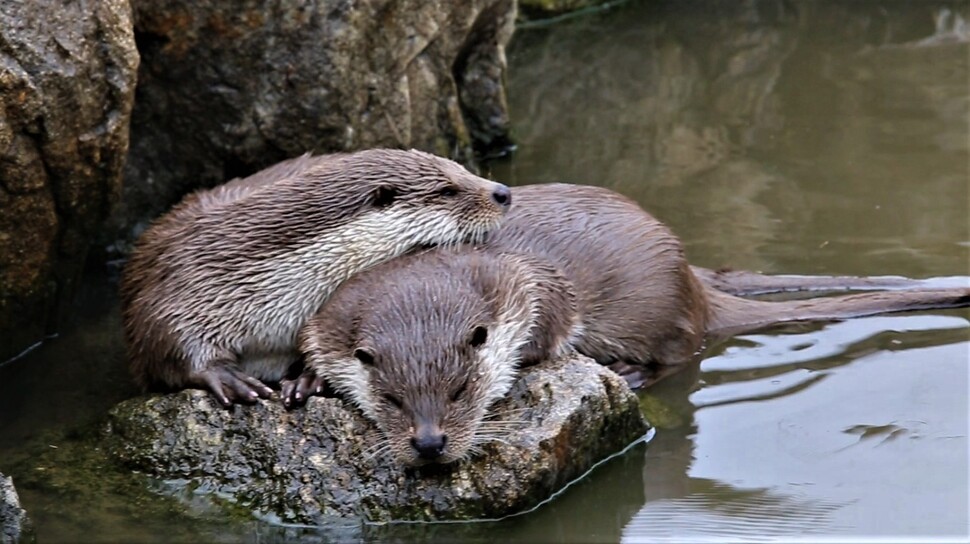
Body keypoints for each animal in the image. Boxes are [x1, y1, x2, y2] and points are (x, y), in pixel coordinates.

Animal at [122, 147, 516, 406]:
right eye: (447, 190)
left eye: (463, 168)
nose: (503, 192)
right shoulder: (185, 276)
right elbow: (163, 337)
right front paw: (225, 376)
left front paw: (310, 377)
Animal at [292, 184, 964, 468]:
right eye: (393, 399)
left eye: (460, 392)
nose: (430, 444)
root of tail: (692, 281)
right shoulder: (326, 319)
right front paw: (305, 382)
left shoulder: (539, 289)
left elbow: (548, 333)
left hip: (656, 310)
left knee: (681, 354)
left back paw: (628, 371)